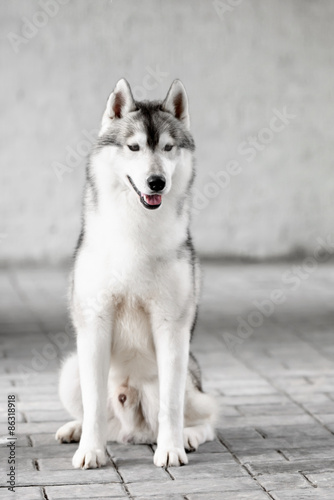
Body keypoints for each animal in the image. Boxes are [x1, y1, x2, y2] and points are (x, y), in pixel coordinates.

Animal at [55, 78, 217, 468]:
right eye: (134, 147)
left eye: (168, 147)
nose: (156, 182)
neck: (136, 230)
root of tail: (133, 432)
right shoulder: (95, 324)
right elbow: (94, 404)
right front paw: (91, 451)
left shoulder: (171, 328)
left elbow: (172, 407)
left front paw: (171, 449)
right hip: (70, 369)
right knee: (99, 415)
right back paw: (76, 430)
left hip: (185, 382)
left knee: (205, 416)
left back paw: (188, 436)